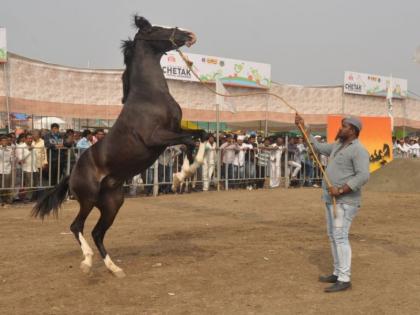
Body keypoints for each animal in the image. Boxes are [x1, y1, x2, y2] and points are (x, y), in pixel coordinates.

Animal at [32, 16, 205, 278]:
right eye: (156, 29)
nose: (189, 35)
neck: (149, 95)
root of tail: (71, 173)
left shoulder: (175, 130)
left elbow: (199, 137)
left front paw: (182, 175)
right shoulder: (156, 138)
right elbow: (190, 142)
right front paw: (180, 176)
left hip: (113, 203)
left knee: (97, 232)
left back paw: (114, 268)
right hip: (88, 198)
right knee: (77, 226)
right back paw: (87, 262)